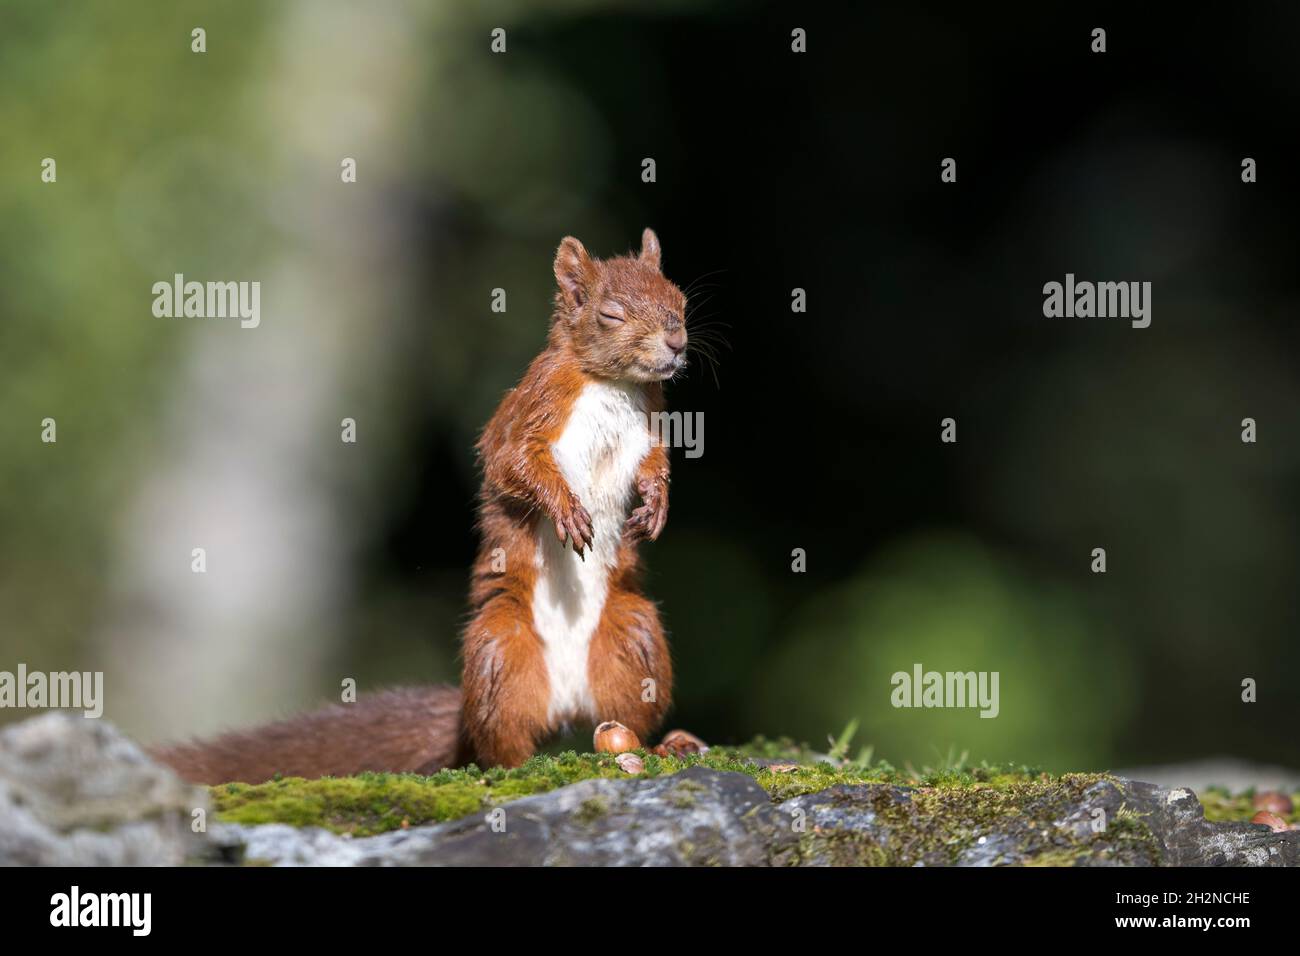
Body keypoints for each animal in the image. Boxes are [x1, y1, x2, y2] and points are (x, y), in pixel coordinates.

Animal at [152, 228, 690, 784]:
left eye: (681, 302)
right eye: (610, 314)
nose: (677, 344)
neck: (612, 385)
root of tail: (566, 705)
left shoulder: (651, 421)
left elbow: (655, 463)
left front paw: (657, 504)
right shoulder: (531, 409)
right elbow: (513, 463)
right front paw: (565, 508)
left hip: (637, 641)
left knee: (627, 715)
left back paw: (660, 745)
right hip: (499, 655)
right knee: (501, 740)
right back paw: (512, 766)